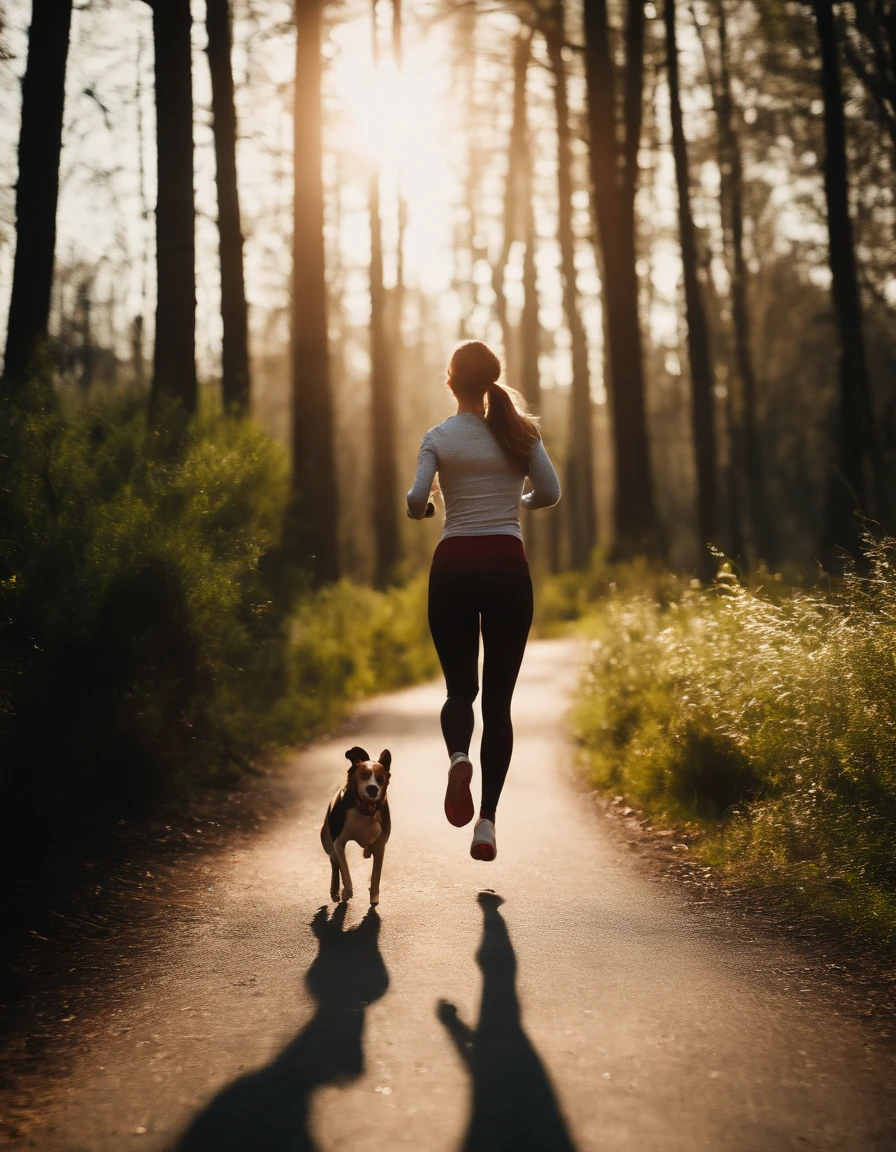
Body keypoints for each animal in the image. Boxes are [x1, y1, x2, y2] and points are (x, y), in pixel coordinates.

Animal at [320, 746, 391, 907]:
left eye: (380, 779)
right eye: (364, 775)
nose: (372, 789)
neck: (364, 810)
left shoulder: (380, 844)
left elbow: (376, 874)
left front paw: (374, 895)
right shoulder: (339, 842)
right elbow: (344, 868)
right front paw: (347, 891)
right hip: (326, 839)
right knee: (334, 862)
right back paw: (335, 891)